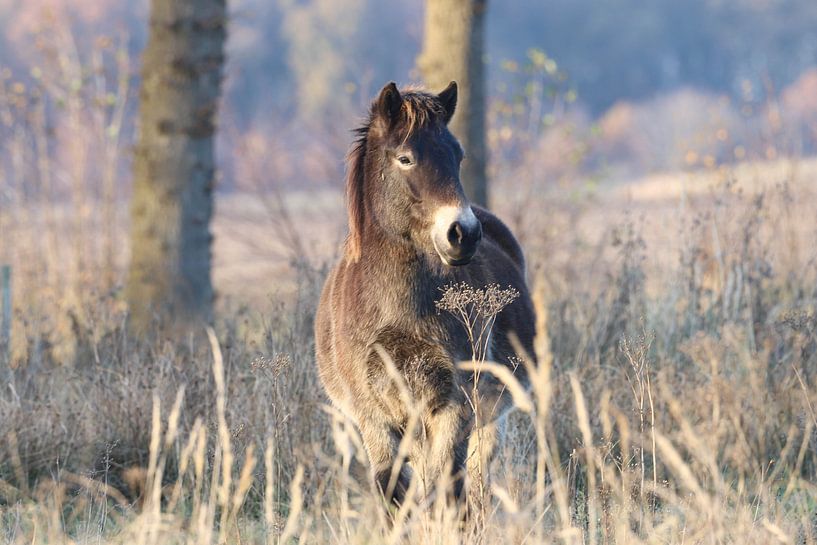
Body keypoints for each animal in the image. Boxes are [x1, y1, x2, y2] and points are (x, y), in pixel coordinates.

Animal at [314, 81, 535, 510]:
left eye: (458, 155)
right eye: (405, 158)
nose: (463, 233)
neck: (397, 311)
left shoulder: (454, 406)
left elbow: (447, 487)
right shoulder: (374, 416)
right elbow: (392, 490)